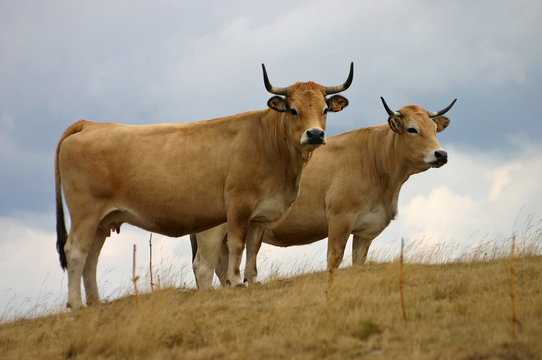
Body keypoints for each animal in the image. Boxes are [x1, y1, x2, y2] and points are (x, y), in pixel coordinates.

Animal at [54, 62, 352, 310]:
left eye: (325, 110)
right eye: (293, 110)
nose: (315, 134)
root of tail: (89, 125)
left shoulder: (261, 214)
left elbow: (253, 249)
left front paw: (253, 281)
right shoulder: (238, 206)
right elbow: (236, 246)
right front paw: (236, 282)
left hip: (102, 220)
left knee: (91, 257)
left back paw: (94, 303)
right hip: (85, 213)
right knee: (76, 252)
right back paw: (76, 305)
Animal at [192, 97, 460, 288]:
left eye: (434, 129)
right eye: (412, 129)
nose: (441, 154)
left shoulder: (365, 229)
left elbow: (357, 262)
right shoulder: (340, 218)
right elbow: (334, 259)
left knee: (222, 268)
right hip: (212, 229)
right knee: (203, 267)